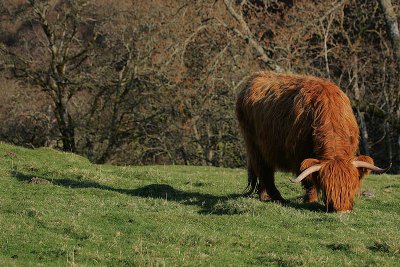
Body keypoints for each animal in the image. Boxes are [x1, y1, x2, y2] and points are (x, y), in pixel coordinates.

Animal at [236, 71, 390, 214]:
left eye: (351, 186)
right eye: (327, 188)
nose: (342, 210)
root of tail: (254, 77)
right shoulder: (299, 154)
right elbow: (309, 179)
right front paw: (311, 200)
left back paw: (264, 195)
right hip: (254, 144)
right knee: (263, 170)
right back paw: (274, 197)